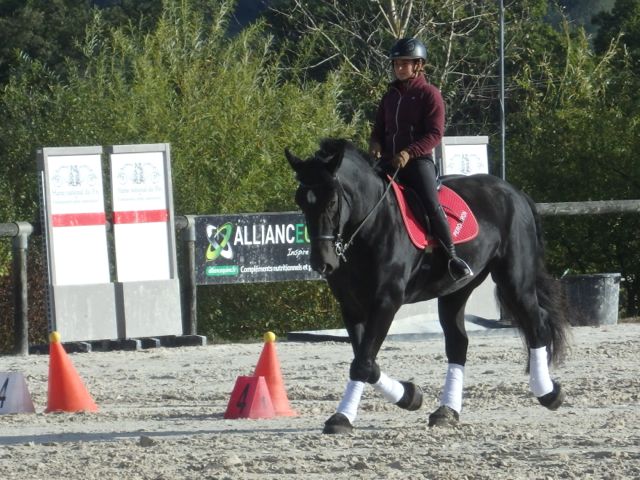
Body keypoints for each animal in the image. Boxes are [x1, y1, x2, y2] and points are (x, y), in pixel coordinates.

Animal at [285, 138, 571, 434]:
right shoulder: (351, 306)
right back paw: (447, 412)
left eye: (332, 200)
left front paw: (341, 418)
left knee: (536, 325)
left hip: (514, 279)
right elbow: (367, 361)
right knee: (458, 343)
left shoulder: (386, 302)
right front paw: (410, 395)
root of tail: (515, 193)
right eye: (300, 201)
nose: (322, 262)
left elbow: (362, 363)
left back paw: (548, 393)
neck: (370, 226)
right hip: (456, 289)